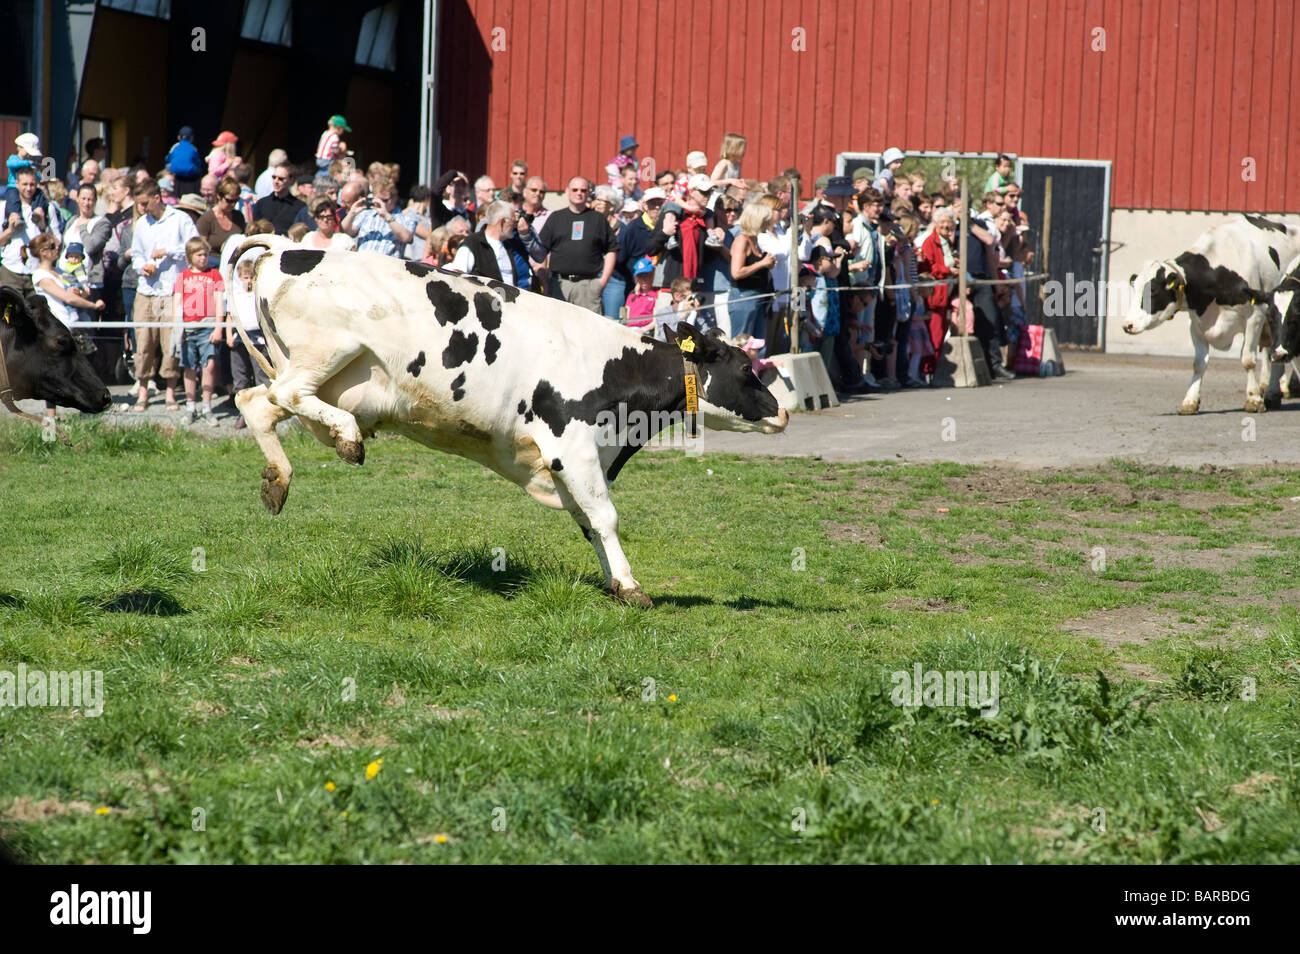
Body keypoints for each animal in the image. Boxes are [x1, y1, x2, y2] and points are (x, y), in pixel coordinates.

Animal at [228, 243, 785, 608]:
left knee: (257, 402)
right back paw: (346, 439)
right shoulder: (571, 446)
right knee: (282, 395)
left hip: (335, 380)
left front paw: (614, 584)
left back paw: (277, 481)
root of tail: (285, 250)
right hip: (327, 354)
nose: (781, 411)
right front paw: (632, 588)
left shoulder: (574, 463)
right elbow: (605, 518)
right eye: (745, 369)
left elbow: (589, 523)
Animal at [1118, 215, 1300, 415]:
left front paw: (1253, 400)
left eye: (1153, 290)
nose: (1128, 325)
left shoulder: (1255, 317)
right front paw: (1189, 401)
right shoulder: (1197, 324)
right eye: (1134, 288)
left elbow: (1248, 360)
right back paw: (1272, 393)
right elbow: (1199, 364)